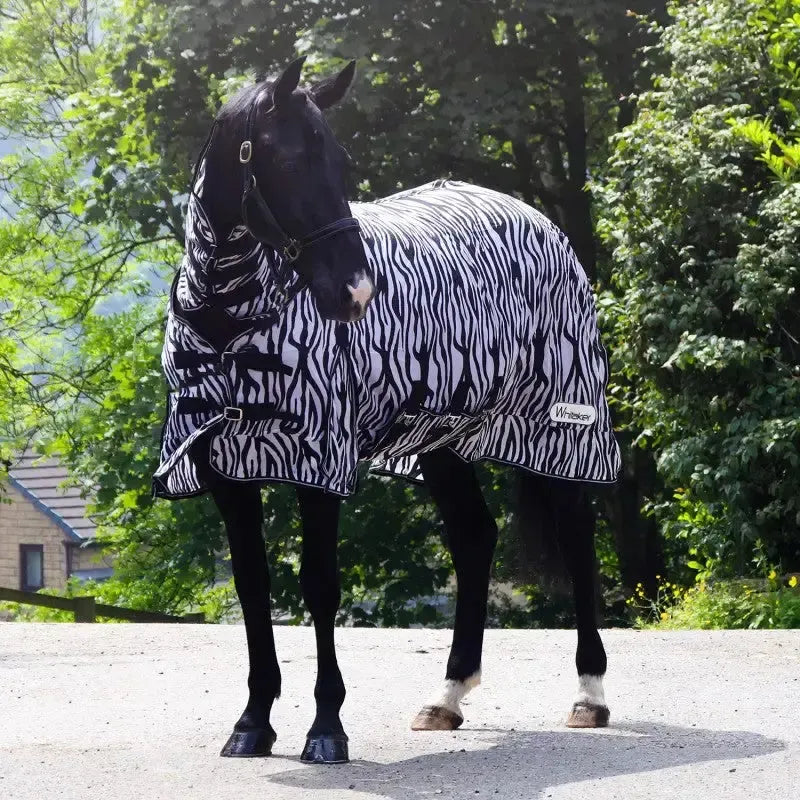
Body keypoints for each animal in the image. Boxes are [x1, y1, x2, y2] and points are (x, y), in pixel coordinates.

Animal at [154, 57, 621, 764]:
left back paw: (590, 695)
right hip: (443, 437)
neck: (233, 321)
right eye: (286, 160)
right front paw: (253, 722)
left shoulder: (318, 460)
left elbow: (320, 586)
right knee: (474, 538)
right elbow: (253, 586)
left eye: (341, 162)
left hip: (562, 424)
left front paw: (326, 728)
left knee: (578, 537)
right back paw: (447, 696)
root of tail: (533, 217)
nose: (354, 293)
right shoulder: (227, 469)